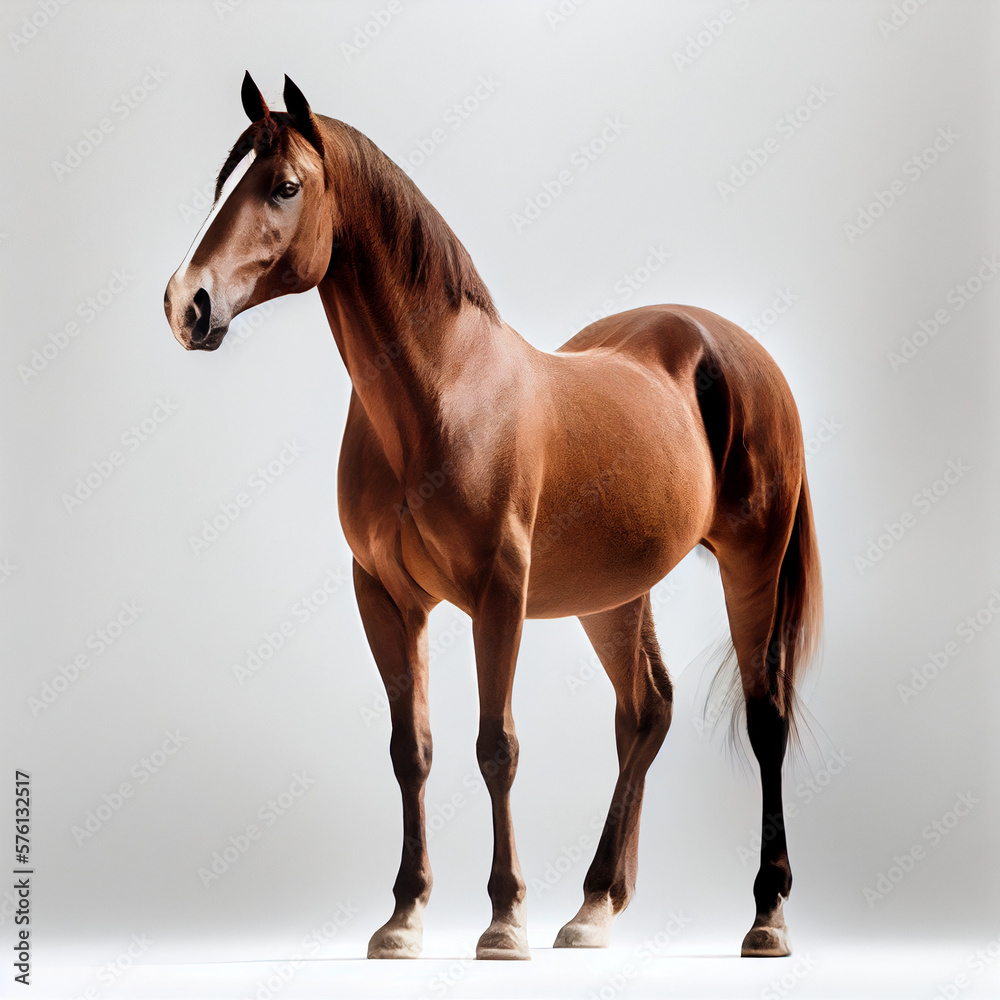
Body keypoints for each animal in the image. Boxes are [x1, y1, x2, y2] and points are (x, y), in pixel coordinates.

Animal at [164, 73, 822, 961]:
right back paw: (594, 907)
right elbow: (412, 750)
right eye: (227, 185)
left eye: (285, 187)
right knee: (646, 710)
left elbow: (496, 746)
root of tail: (735, 349)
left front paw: (504, 919)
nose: (186, 303)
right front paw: (403, 917)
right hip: (612, 596)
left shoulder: (498, 592)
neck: (440, 393)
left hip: (754, 560)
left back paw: (766, 915)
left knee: (765, 718)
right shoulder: (385, 597)